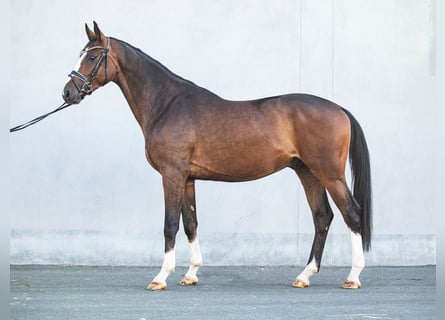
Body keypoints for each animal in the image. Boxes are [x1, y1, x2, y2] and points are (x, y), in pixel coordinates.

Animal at [62, 22, 372, 292]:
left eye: (92, 56)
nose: (67, 93)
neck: (167, 104)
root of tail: (339, 109)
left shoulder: (172, 175)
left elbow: (170, 225)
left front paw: (161, 277)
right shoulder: (187, 178)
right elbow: (191, 224)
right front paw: (191, 274)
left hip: (329, 174)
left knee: (352, 213)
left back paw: (353, 277)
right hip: (307, 172)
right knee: (322, 217)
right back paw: (304, 276)